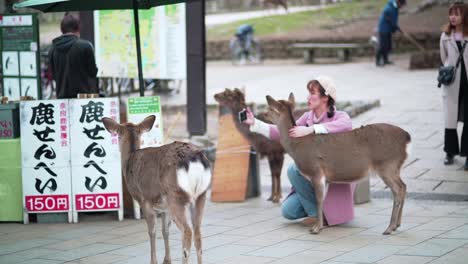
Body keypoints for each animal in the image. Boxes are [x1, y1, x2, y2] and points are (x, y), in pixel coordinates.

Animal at [103, 116, 211, 264]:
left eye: (118, 135)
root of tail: (194, 160)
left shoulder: (144, 201)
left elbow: (152, 231)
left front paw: (153, 261)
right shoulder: (165, 208)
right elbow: (165, 230)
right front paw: (167, 260)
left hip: (175, 196)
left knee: (187, 232)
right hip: (201, 195)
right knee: (198, 232)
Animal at [266, 94, 412, 234]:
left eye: (270, 109)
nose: (263, 115)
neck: (297, 147)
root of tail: (406, 138)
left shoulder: (316, 171)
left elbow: (318, 199)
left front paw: (316, 228)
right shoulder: (325, 178)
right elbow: (323, 200)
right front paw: (321, 225)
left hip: (387, 164)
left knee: (398, 190)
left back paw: (389, 228)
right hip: (395, 167)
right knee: (404, 186)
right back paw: (397, 225)